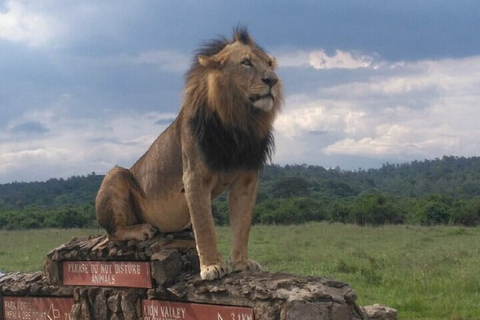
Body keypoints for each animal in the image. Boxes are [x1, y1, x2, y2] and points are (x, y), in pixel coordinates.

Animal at [95, 27, 284, 280]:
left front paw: (242, 263)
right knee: (112, 233)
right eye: (246, 63)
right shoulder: (194, 176)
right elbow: (205, 227)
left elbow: (242, 226)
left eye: (269, 64)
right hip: (115, 174)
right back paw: (141, 230)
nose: (272, 80)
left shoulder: (247, 180)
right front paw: (212, 266)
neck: (239, 124)